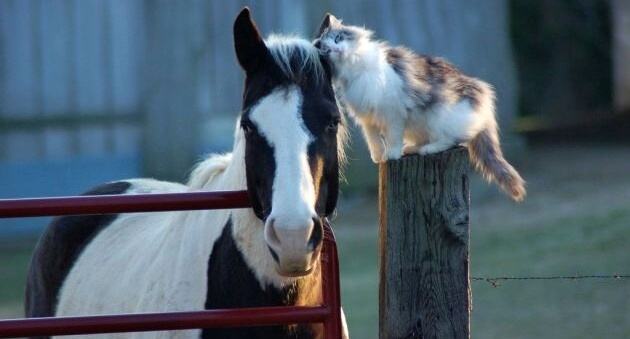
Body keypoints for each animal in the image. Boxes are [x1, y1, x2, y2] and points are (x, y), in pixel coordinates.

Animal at [316, 12, 528, 202]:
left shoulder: (393, 113)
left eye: (338, 38)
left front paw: (391, 154)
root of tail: (483, 100)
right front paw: (379, 157)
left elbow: (392, 137)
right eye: (324, 51)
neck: (353, 71)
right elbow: (374, 141)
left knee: (452, 139)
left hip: (439, 116)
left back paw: (427, 149)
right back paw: (412, 148)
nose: (335, 49)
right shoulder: (368, 120)